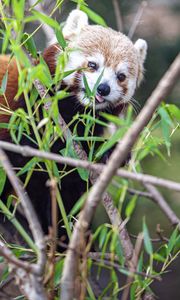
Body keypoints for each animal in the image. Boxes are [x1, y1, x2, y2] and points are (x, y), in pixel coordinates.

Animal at [0, 9, 147, 237]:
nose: (103, 88)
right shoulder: (26, 113)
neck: (74, 110)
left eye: (121, 76)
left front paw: (109, 152)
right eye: (92, 65)